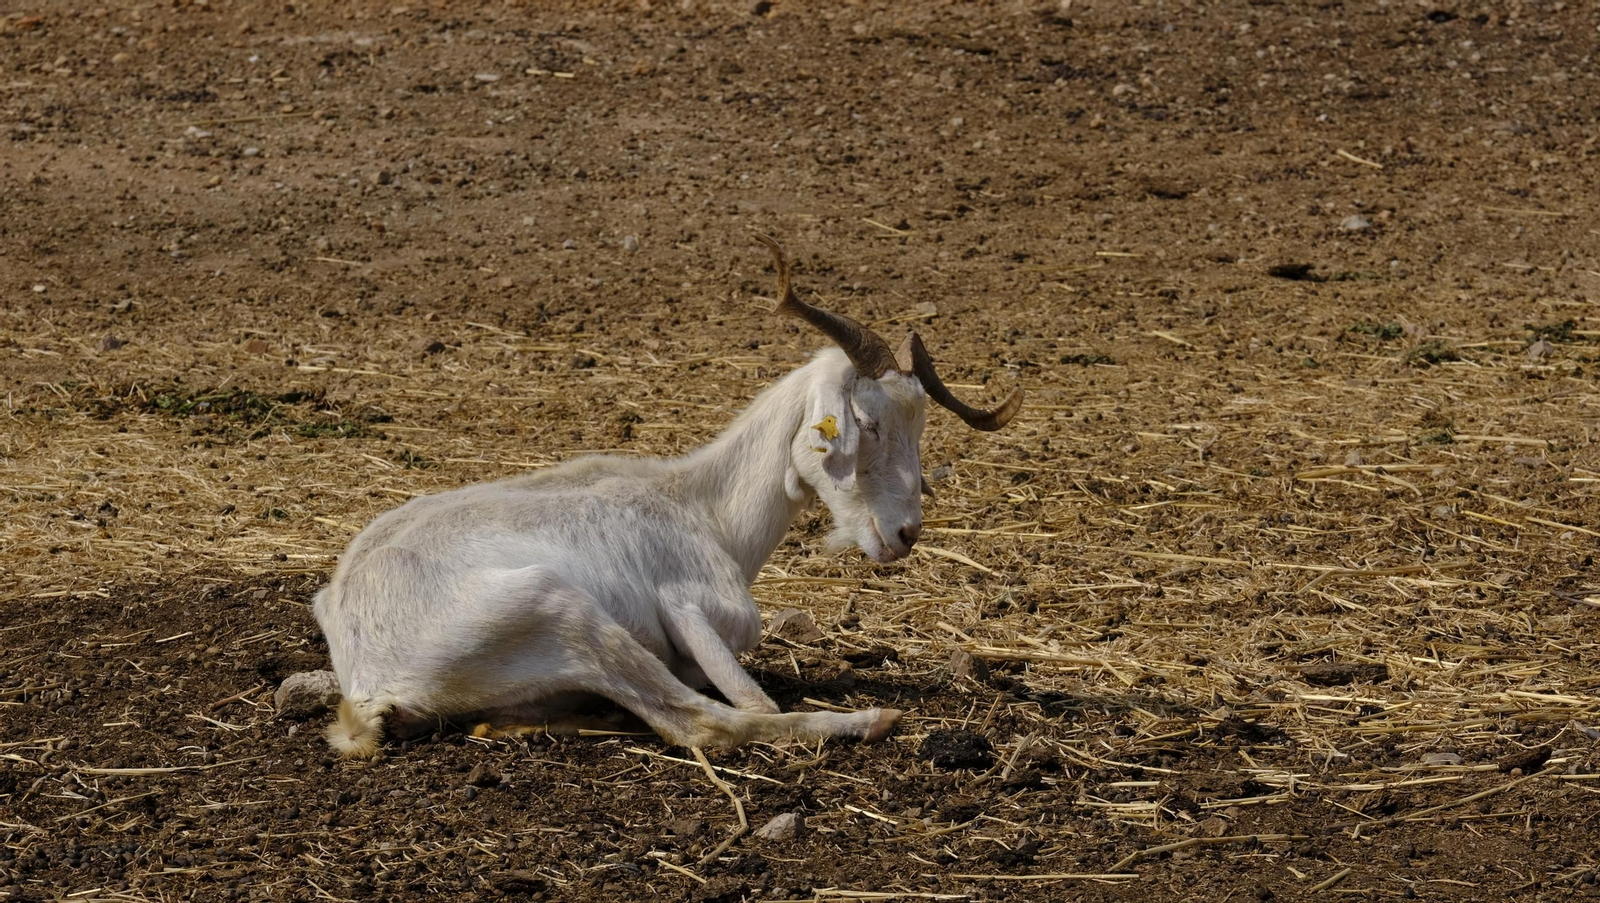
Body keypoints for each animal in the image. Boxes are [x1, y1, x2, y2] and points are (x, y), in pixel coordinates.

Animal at [312, 236, 1023, 755]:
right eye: (867, 423)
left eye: (920, 427)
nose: (905, 533)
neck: (703, 509)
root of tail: (368, 678)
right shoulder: (690, 607)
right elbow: (750, 700)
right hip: (562, 610)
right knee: (708, 723)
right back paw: (873, 719)